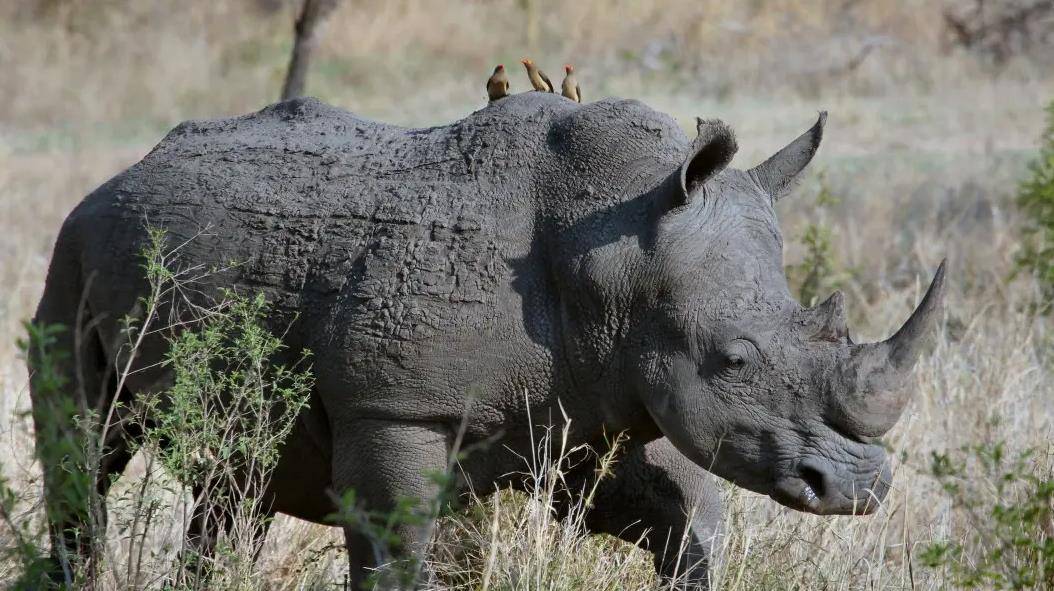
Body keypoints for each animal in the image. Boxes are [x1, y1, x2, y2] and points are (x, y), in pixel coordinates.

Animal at [28, 92, 944, 585]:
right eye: (735, 359)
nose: (859, 487)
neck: (613, 252)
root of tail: (122, 174)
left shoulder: (593, 401)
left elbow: (684, 517)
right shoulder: (395, 408)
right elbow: (401, 547)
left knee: (235, 483)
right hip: (70, 250)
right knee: (85, 453)